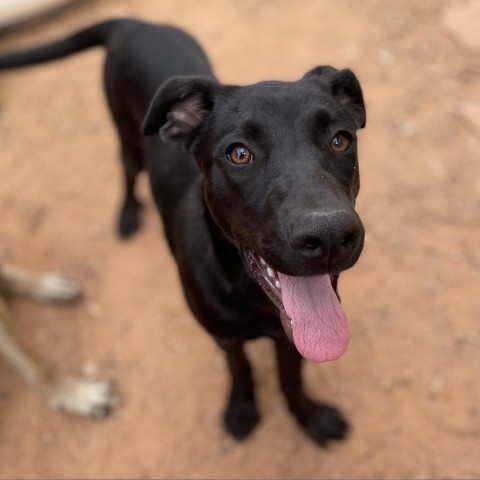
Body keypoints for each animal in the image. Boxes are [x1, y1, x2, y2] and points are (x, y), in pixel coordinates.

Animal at [0, 18, 366, 446]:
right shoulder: (224, 337)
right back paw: (127, 215)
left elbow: (290, 378)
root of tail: (135, 22)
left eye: (340, 140)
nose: (329, 236)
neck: (247, 293)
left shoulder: (290, 338)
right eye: (239, 153)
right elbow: (240, 369)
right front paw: (242, 409)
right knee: (127, 174)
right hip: (127, 139)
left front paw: (309, 417)